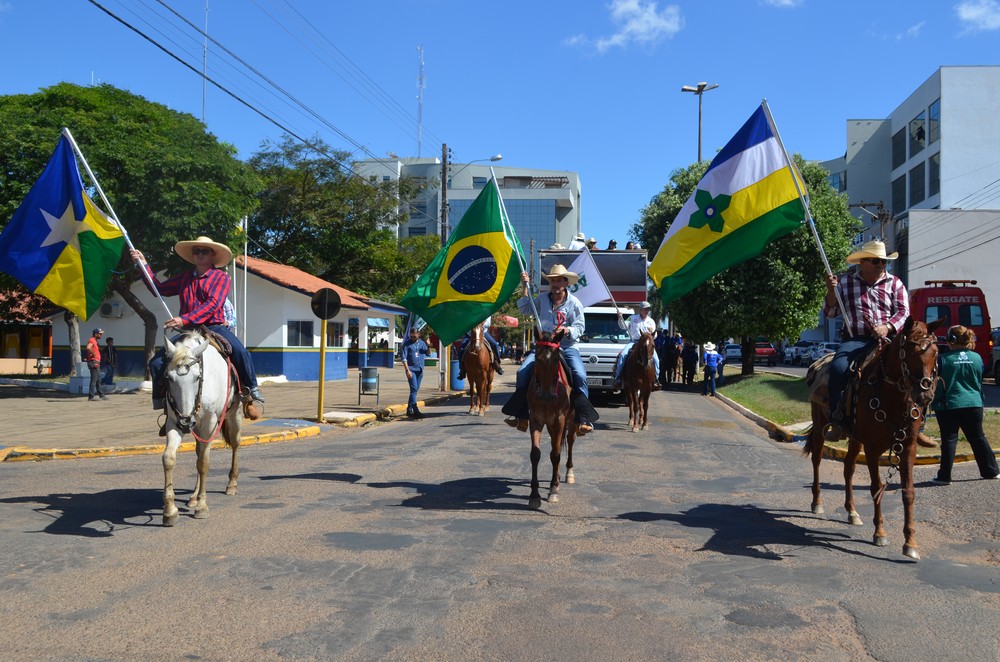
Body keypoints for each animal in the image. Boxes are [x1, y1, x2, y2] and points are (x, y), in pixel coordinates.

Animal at [164, 330, 244, 528]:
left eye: (197, 377)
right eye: (168, 378)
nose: (185, 423)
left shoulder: (210, 423)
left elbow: (204, 463)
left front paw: (202, 507)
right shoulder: (173, 421)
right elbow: (169, 458)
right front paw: (170, 511)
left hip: (234, 414)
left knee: (235, 444)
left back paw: (231, 484)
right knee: (199, 452)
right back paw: (193, 496)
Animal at [524, 330, 580, 508]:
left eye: (556, 359)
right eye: (537, 358)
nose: (546, 395)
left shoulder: (559, 420)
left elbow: (556, 454)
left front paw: (553, 490)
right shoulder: (536, 419)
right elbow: (535, 454)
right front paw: (534, 495)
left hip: (570, 420)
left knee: (569, 441)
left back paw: (568, 474)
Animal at [800, 316, 940, 560]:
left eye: (936, 352)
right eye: (909, 351)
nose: (925, 394)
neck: (893, 396)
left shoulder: (908, 448)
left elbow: (908, 492)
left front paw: (910, 542)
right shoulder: (873, 448)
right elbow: (876, 488)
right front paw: (880, 533)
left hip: (856, 439)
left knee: (848, 468)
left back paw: (852, 511)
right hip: (819, 426)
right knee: (817, 458)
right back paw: (817, 502)